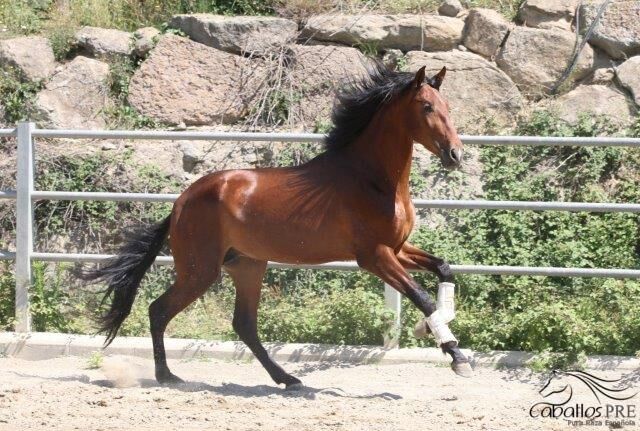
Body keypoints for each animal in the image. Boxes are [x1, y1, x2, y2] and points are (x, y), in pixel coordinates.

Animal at [82, 62, 470, 390]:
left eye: (448, 105)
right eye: (426, 107)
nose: (455, 155)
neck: (371, 180)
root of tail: (182, 201)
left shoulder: (397, 249)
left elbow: (444, 269)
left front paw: (431, 330)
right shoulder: (374, 256)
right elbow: (422, 297)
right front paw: (456, 356)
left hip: (247, 265)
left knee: (244, 325)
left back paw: (287, 379)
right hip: (200, 270)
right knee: (159, 310)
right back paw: (168, 376)